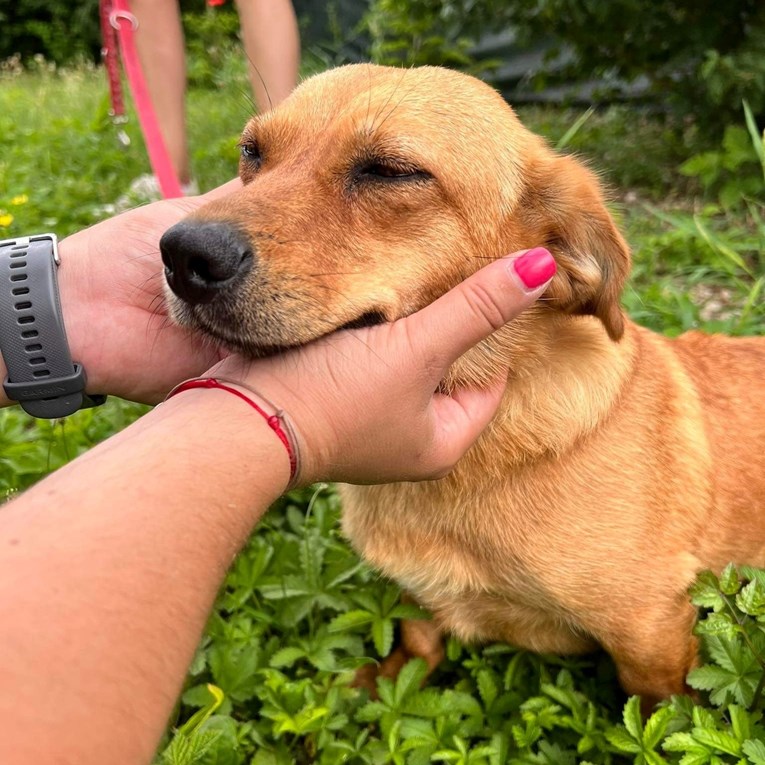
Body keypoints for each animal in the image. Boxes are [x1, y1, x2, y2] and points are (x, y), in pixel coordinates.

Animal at [158, 62, 764, 708]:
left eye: (390, 171)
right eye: (252, 152)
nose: (182, 254)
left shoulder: (650, 629)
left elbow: (660, 707)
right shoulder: (419, 595)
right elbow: (418, 639)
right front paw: (389, 687)